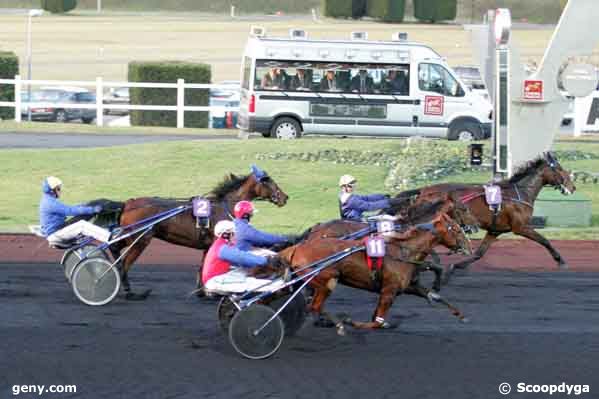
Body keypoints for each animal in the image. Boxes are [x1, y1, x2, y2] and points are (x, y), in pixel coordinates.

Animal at [107, 170, 288, 300]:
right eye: (268, 181)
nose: (285, 197)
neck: (224, 207)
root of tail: (128, 203)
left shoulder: (207, 246)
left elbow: (203, 266)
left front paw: (202, 291)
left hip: (130, 237)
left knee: (115, 248)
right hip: (140, 240)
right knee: (125, 263)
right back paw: (129, 292)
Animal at [278, 212, 472, 334]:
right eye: (456, 229)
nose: (468, 247)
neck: (403, 251)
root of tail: (299, 246)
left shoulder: (407, 286)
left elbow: (435, 295)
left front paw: (461, 316)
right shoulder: (388, 291)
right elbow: (377, 321)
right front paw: (350, 322)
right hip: (326, 280)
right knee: (314, 305)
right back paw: (337, 323)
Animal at [404, 153, 576, 278]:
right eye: (560, 169)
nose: (572, 187)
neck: (518, 194)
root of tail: (423, 190)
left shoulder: (495, 231)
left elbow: (479, 254)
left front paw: (455, 266)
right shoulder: (521, 227)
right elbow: (545, 241)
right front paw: (561, 261)